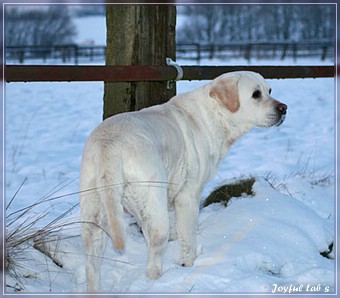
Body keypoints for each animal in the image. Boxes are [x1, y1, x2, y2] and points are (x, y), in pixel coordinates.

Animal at [79, 70, 286, 292]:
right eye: (256, 94)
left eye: (269, 90)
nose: (284, 108)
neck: (214, 115)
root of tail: (109, 145)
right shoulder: (188, 197)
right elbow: (188, 239)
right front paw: (189, 264)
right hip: (153, 206)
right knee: (153, 261)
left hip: (94, 216)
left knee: (91, 266)